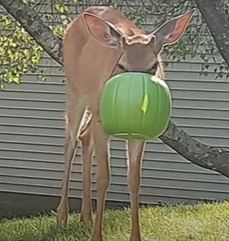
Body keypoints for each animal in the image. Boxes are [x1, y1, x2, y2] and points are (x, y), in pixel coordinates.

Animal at [56, 5, 193, 241]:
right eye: (121, 64)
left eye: (153, 66)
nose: (139, 94)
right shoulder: (102, 122)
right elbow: (104, 177)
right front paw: (97, 236)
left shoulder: (139, 133)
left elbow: (134, 179)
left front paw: (135, 236)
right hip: (75, 90)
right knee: (70, 142)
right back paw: (62, 217)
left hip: (92, 105)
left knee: (85, 137)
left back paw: (86, 217)